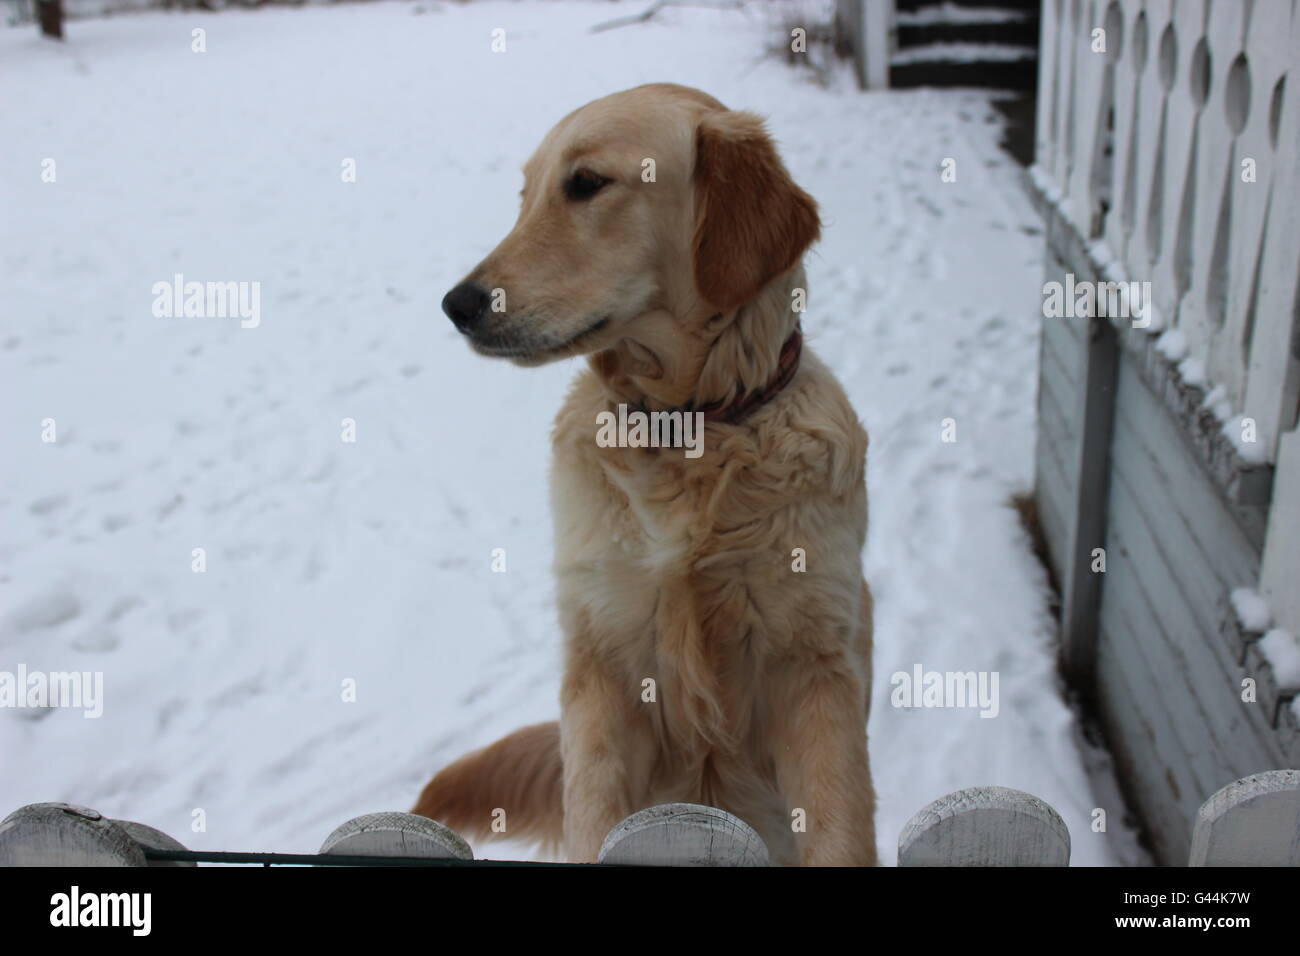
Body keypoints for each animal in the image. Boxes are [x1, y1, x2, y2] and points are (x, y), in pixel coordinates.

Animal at [416, 83, 878, 868]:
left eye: (586, 184)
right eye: (526, 194)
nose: (459, 305)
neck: (688, 433)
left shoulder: (815, 670)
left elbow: (839, 828)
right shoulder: (604, 666)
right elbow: (594, 812)